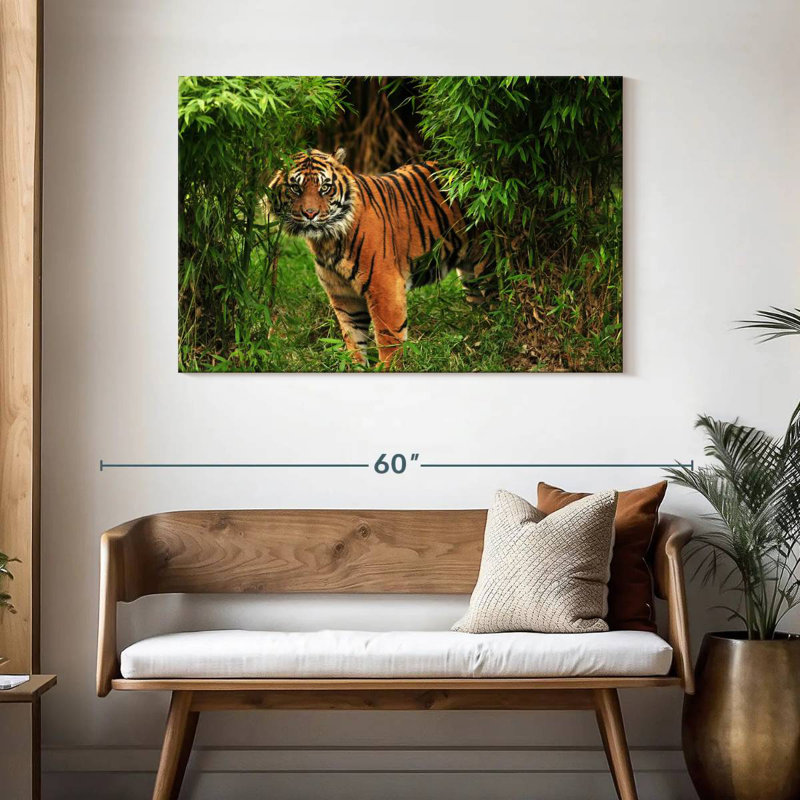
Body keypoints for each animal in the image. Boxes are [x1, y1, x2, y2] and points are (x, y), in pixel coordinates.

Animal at [268, 148, 492, 368]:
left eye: (325, 188)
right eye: (295, 188)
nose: (310, 213)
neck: (327, 240)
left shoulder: (384, 286)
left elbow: (389, 336)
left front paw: (388, 367)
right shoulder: (343, 294)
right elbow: (353, 338)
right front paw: (355, 367)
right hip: (469, 275)